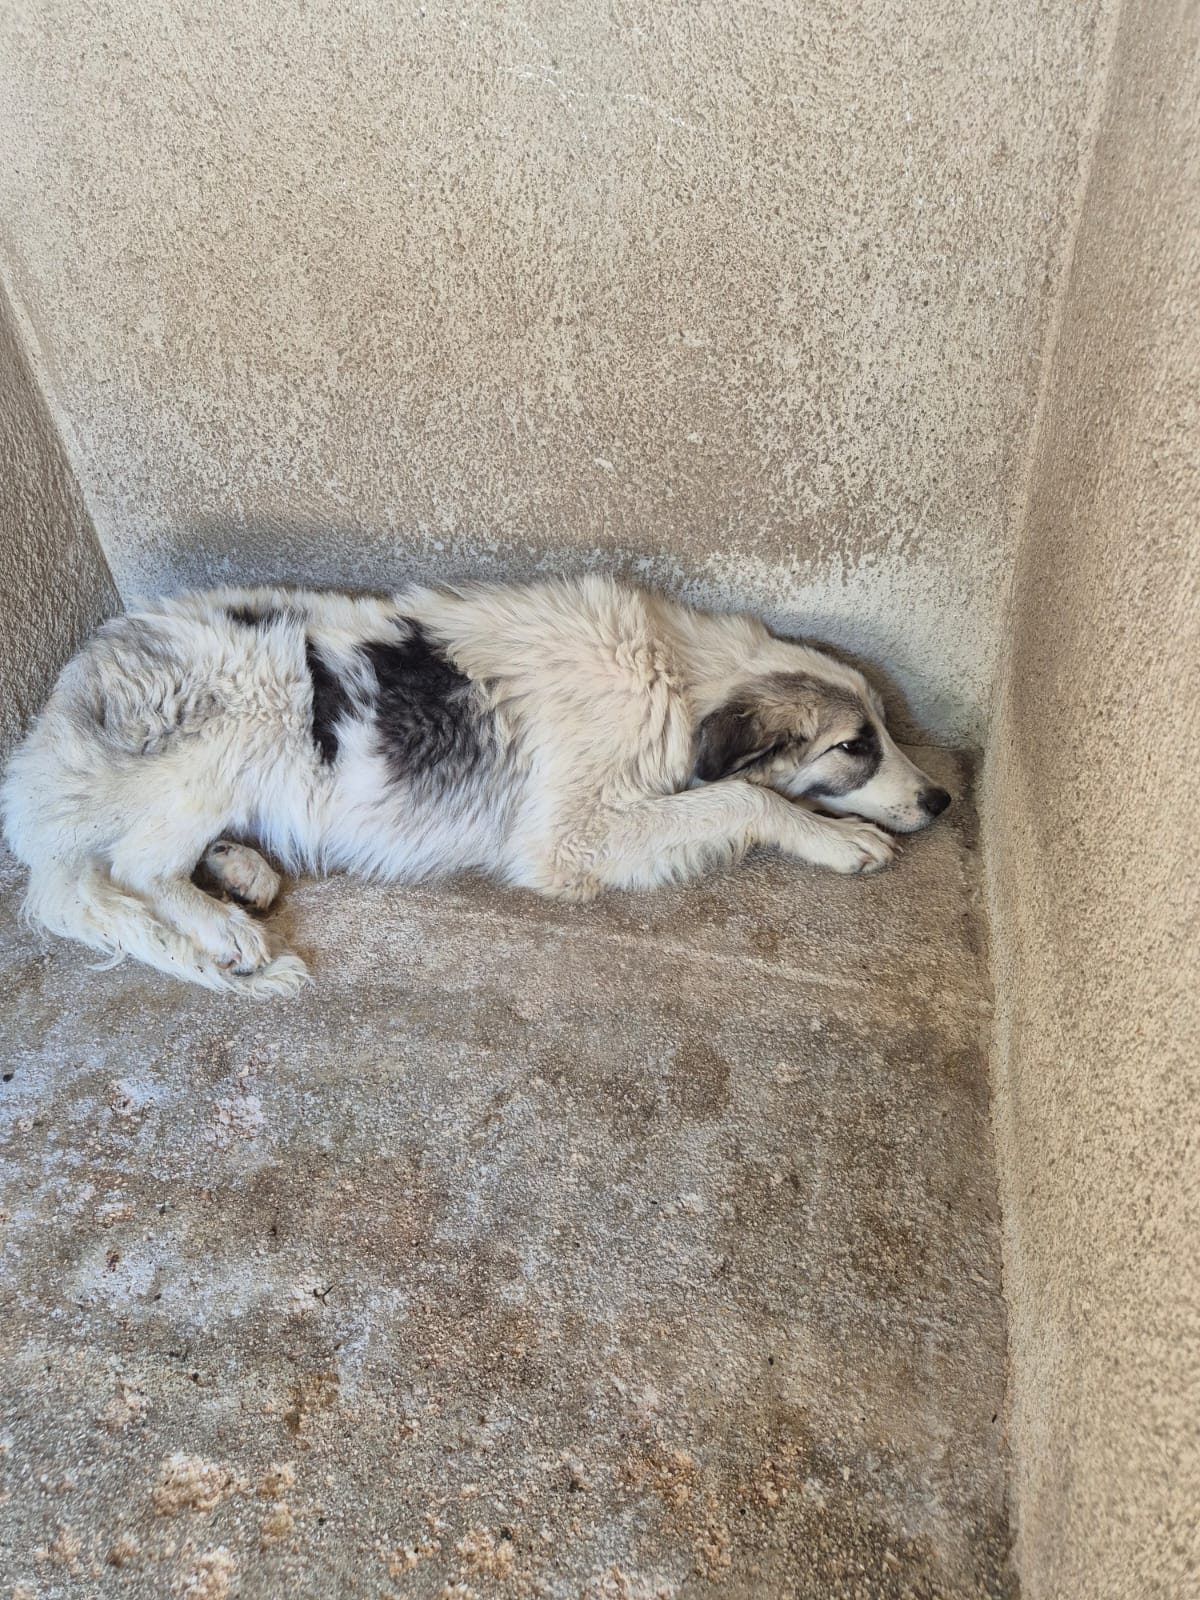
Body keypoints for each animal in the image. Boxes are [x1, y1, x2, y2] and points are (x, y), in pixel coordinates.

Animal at [1, 574, 950, 996]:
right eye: (856, 745)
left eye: (886, 726)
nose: (942, 801)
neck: (675, 676)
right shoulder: (569, 838)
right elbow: (746, 795)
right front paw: (839, 839)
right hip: (243, 720)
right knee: (134, 867)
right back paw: (222, 926)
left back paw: (243, 869)